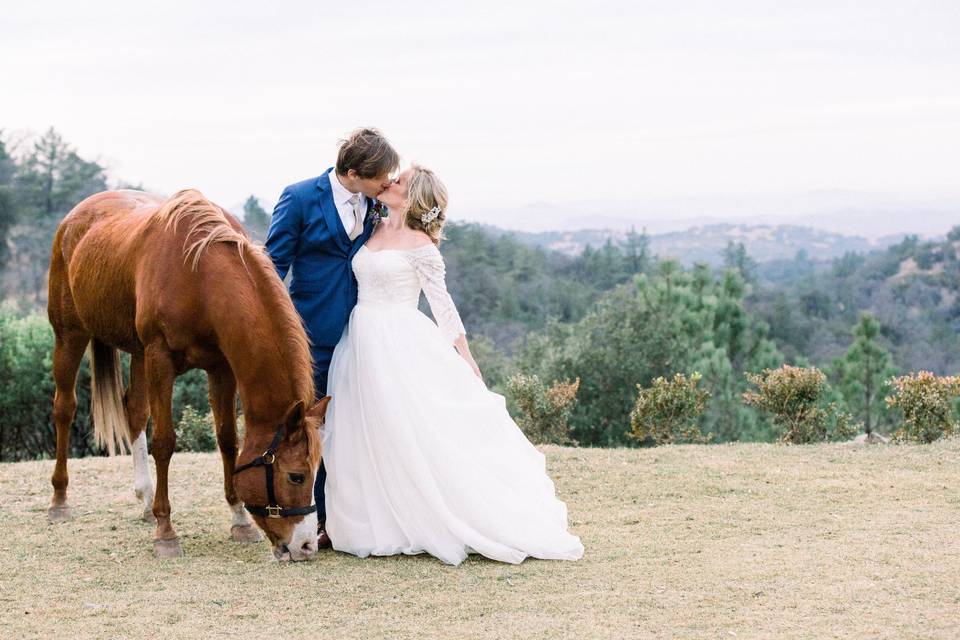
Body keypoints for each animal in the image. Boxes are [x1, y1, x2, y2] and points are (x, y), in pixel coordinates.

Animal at [47, 189, 326, 560]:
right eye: (296, 476)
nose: (307, 545)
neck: (200, 279)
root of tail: (74, 218)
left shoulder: (221, 368)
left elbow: (227, 440)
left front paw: (239, 520)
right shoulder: (160, 359)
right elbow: (165, 443)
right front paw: (166, 531)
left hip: (138, 354)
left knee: (134, 411)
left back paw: (145, 498)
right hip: (70, 335)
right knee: (64, 409)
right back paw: (60, 500)